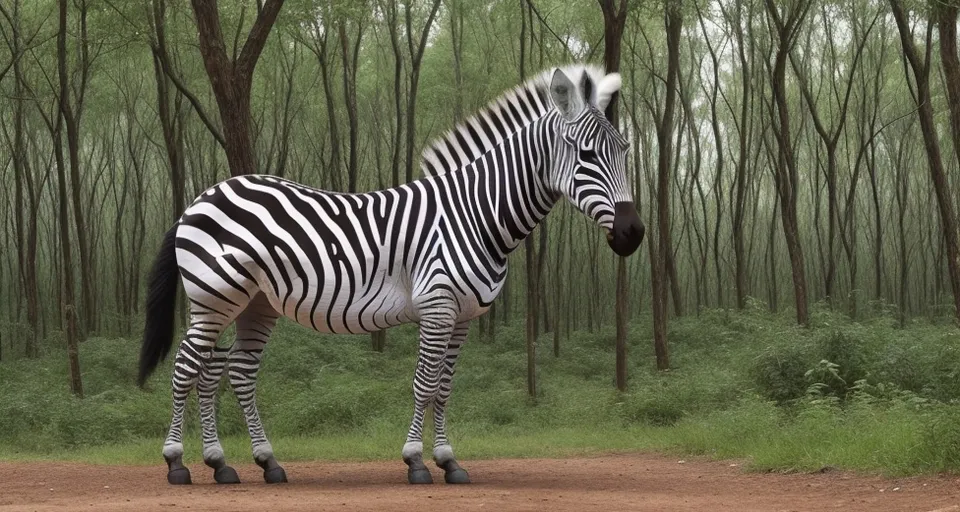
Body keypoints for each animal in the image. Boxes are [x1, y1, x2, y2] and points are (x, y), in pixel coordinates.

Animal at [137, 66, 644, 486]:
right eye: (586, 154)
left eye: (624, 150)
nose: (633, 233)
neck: (475, 213)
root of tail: (200, 198)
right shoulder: (437, 306)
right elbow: (424, 383)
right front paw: (416, 461)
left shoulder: (461, 316)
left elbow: (444, 387)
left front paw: (449, 461)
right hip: (214, 297)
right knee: (187, 367)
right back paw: (178, 463)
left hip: (251, 303)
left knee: (228, 373)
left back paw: (242, 463)